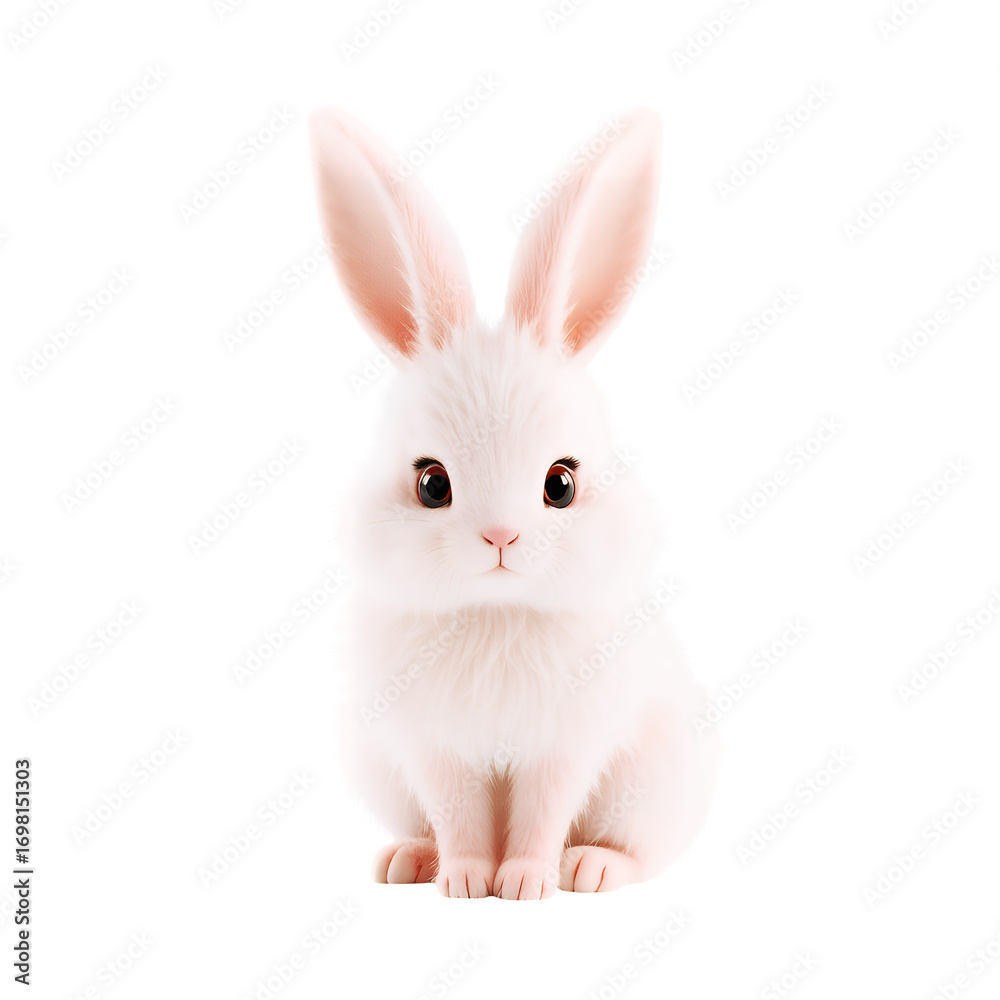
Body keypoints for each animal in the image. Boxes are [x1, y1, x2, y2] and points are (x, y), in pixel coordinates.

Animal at [310, 107, 717, 898]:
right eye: (431, 484)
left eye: (562, 483)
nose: (500, 539)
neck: (496, 613)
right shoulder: (435, 750)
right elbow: (462, 818)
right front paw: (469, 883)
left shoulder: (565, 746)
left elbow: (540, 815)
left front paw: (526, 883)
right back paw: (408, 861)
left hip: (653, 784)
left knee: (642, 850)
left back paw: (591, 869)